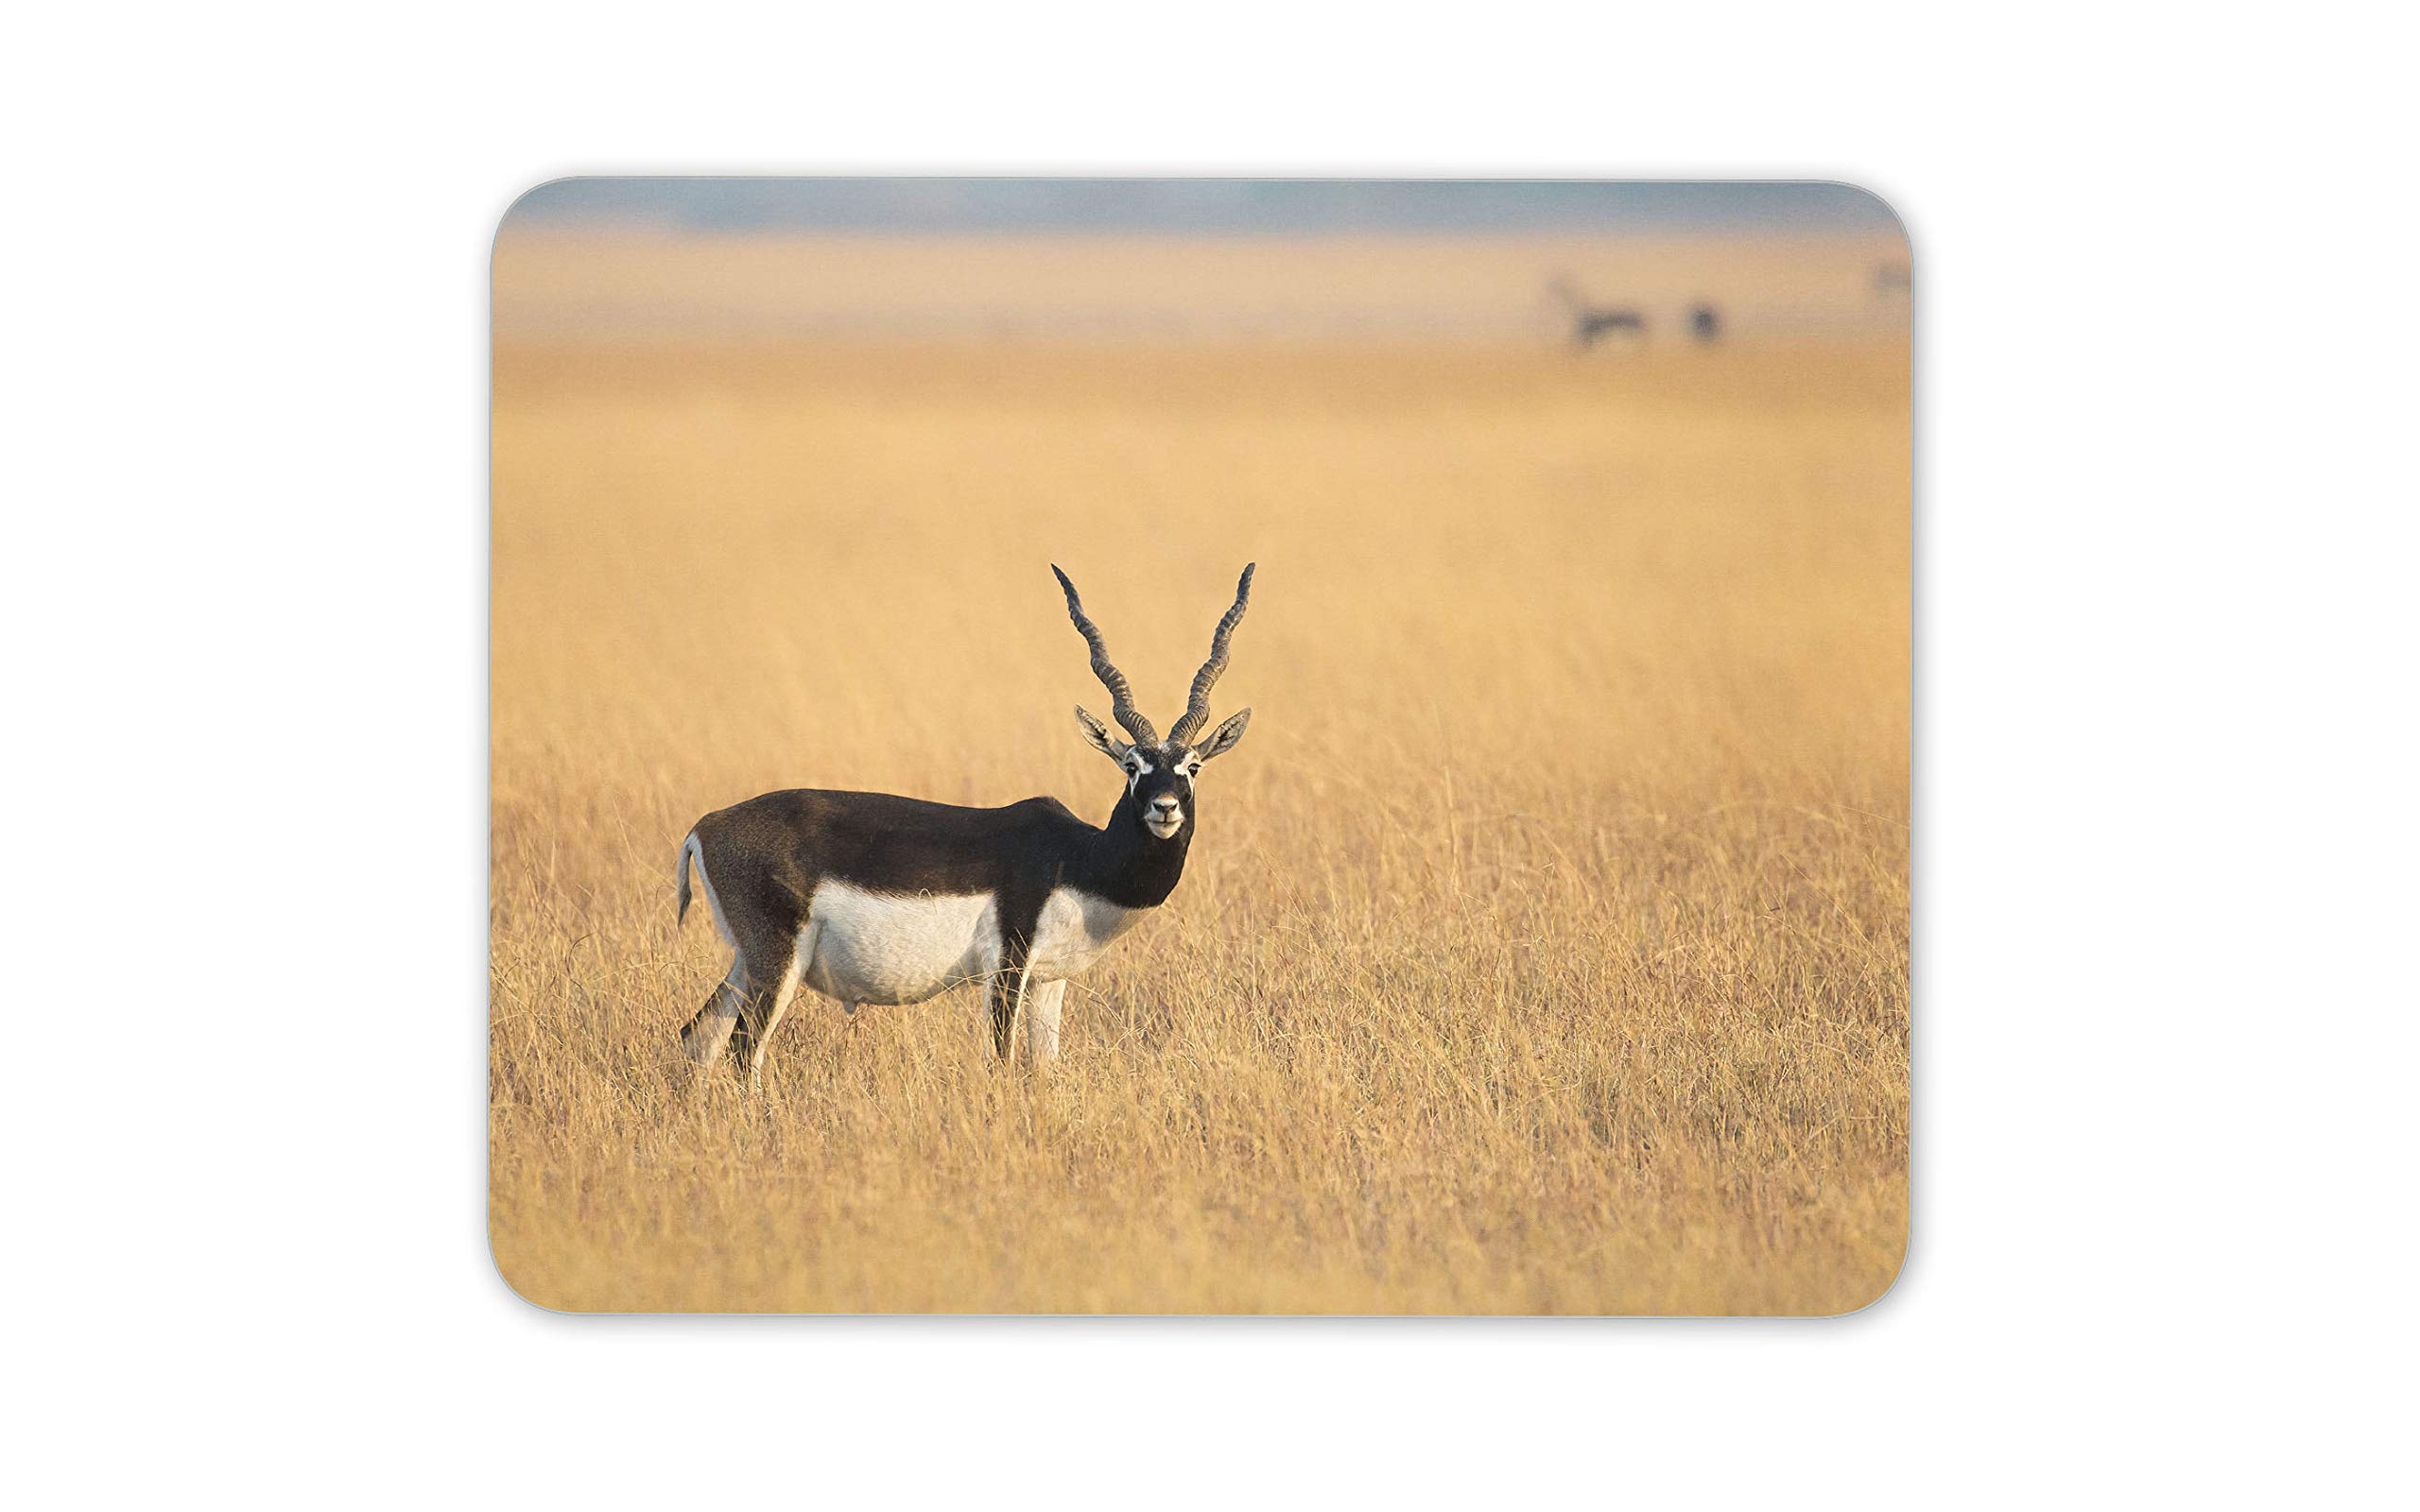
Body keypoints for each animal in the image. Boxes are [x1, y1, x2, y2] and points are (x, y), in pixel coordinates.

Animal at [673, 564, 1257, 1076]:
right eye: (1132, 765)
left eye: (1193, 766)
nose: (1165, 807)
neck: (1078, 860)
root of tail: (706, 827)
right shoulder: (1007, 967)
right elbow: (1000, 1064)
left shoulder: (1049, 981)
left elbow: (1045, 1069)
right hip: (778, 963)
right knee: (742, 1052)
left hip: (747, 961)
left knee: (697, 1036)